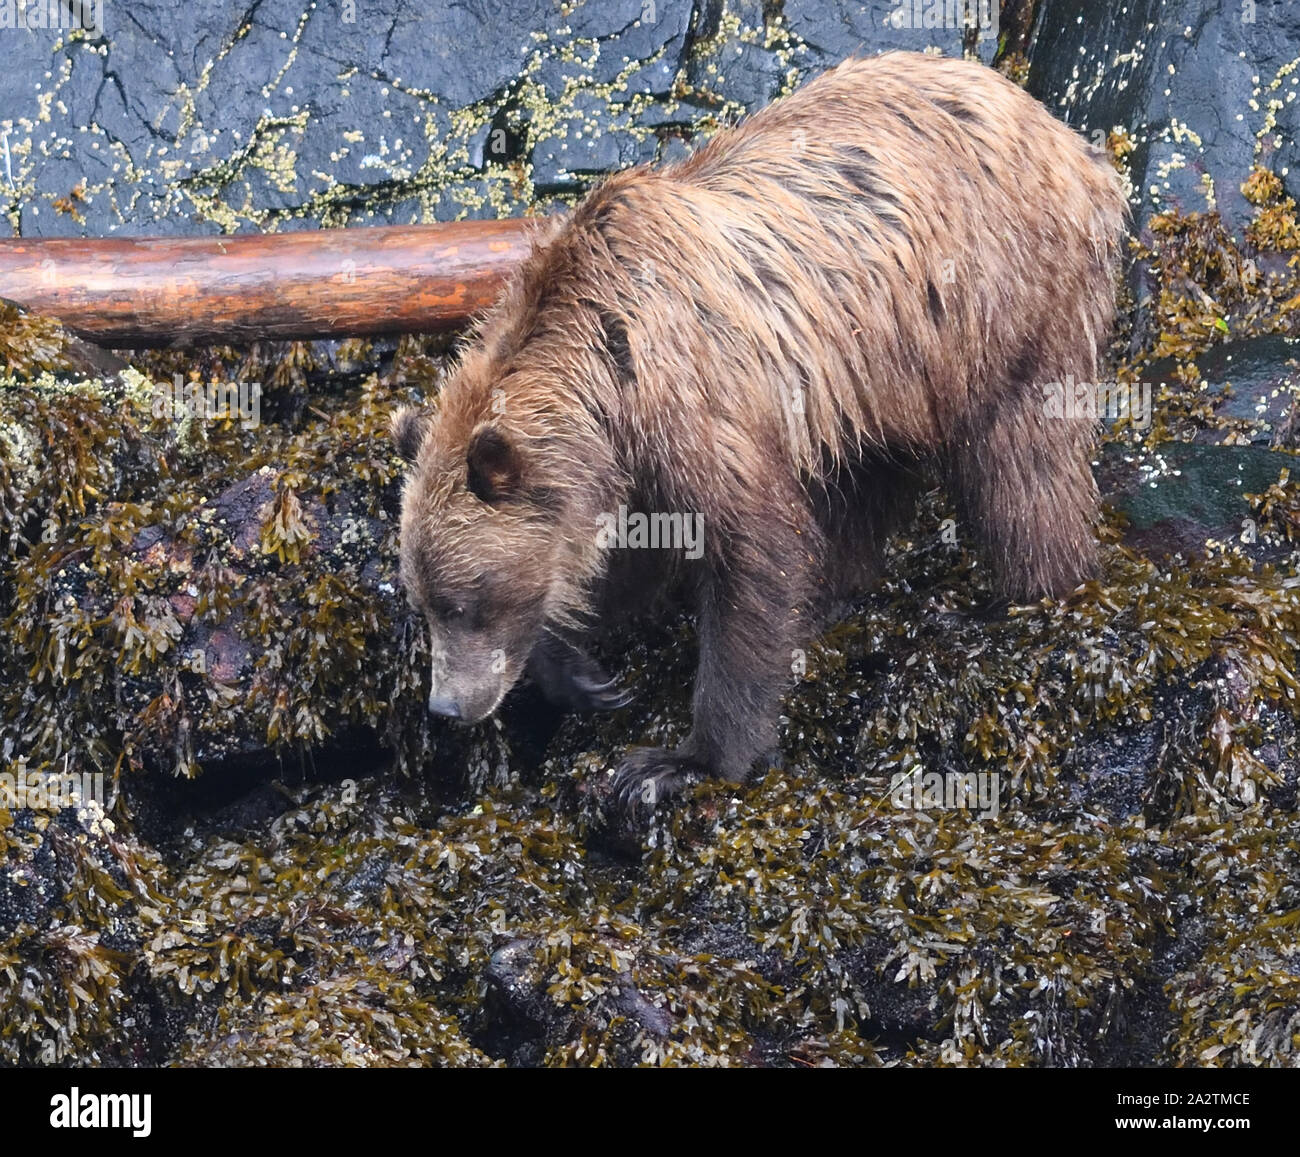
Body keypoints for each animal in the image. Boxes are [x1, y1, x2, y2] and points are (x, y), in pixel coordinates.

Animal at [393, 51, 1129, 824]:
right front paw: (583, 672)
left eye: (464, 601)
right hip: (883, 369)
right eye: (422, 598)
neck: (603, 375)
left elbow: (752, 551)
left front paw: (680, 760)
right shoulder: (632, 463)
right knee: (871, 475)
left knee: (1021, 463)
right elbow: (632, 558)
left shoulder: (694, 406)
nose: (447, 707)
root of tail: (1073, 143)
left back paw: (1034, 594)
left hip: (1001, 303)